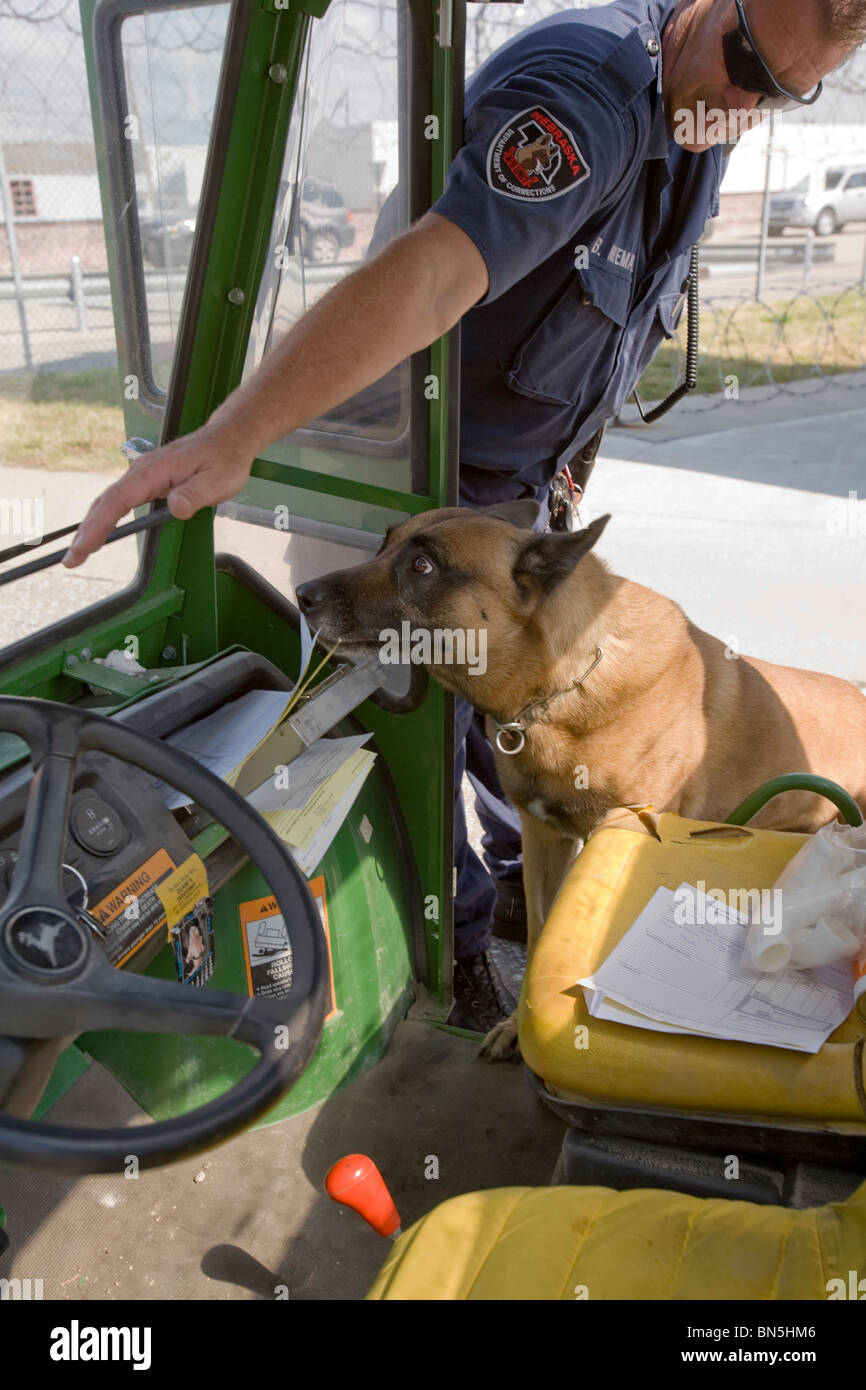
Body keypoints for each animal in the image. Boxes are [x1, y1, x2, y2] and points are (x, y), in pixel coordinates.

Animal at [296, 505, 866, 1056]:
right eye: (384, 544)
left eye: (422, 565)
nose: (302, 596)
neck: (559, 686)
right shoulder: (542, 838)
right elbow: (542, 934)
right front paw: (518, 1027)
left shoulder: (617, 842)